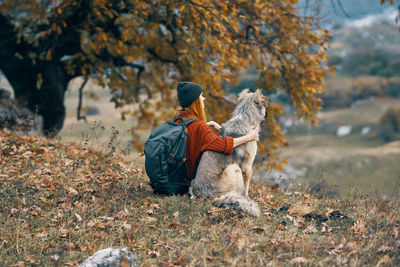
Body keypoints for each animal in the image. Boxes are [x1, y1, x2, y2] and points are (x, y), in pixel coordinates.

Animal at [190, 89, 268, 217]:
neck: (245, 118)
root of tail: (206, 195)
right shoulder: (247, 166)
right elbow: (246, 186)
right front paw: (248, 198)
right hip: (233, 168)